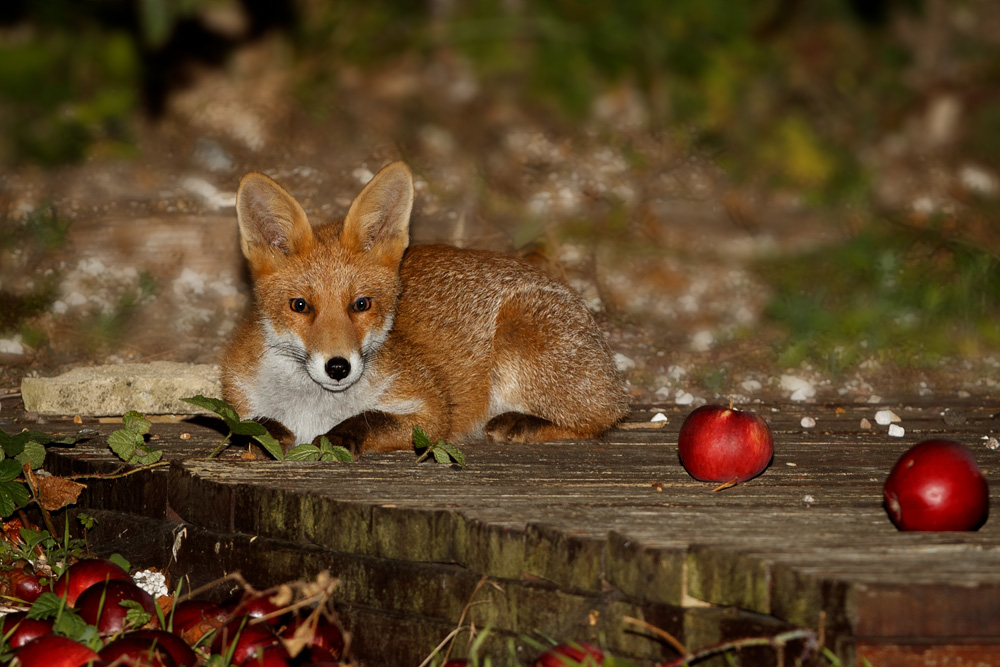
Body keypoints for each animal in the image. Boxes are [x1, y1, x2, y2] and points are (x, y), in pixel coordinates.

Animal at [220, 161, 629, 454]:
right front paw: (269, 433)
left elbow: (372, 419)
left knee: (599, 421)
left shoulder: (431, 409)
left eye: (361, 304)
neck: (313, 409)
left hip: (522, 343)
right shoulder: (239, 400)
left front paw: (341, 436)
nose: (338, 367)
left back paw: (523, 424)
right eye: (300, 305)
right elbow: (246, 427)